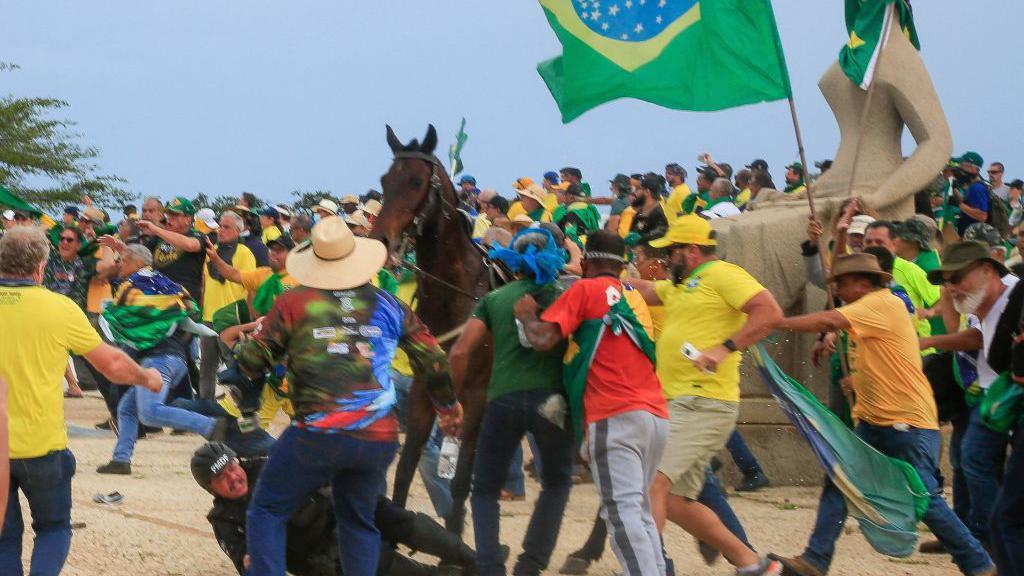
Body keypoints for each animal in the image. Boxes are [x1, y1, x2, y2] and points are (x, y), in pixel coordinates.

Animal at [374, 123, 493, 532]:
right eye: (384, 180)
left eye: (416, 181)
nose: (380, 239)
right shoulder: (425, 391)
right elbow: (404, 471)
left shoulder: (475, 396)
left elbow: (459, 481)